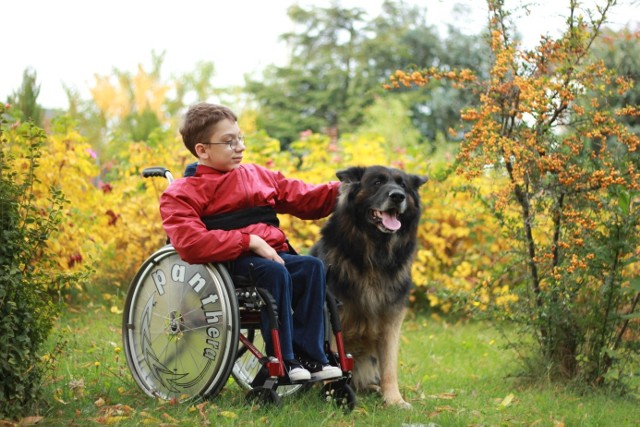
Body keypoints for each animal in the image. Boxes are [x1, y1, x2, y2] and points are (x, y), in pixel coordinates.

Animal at [312, 164, 428, 408]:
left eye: (403, 185)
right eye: (377, 182)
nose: (398, 196)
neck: (374, 255)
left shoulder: (391, 321)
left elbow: (389, 367)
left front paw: (394, 400)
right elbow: (332, 363)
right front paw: (332, 396)